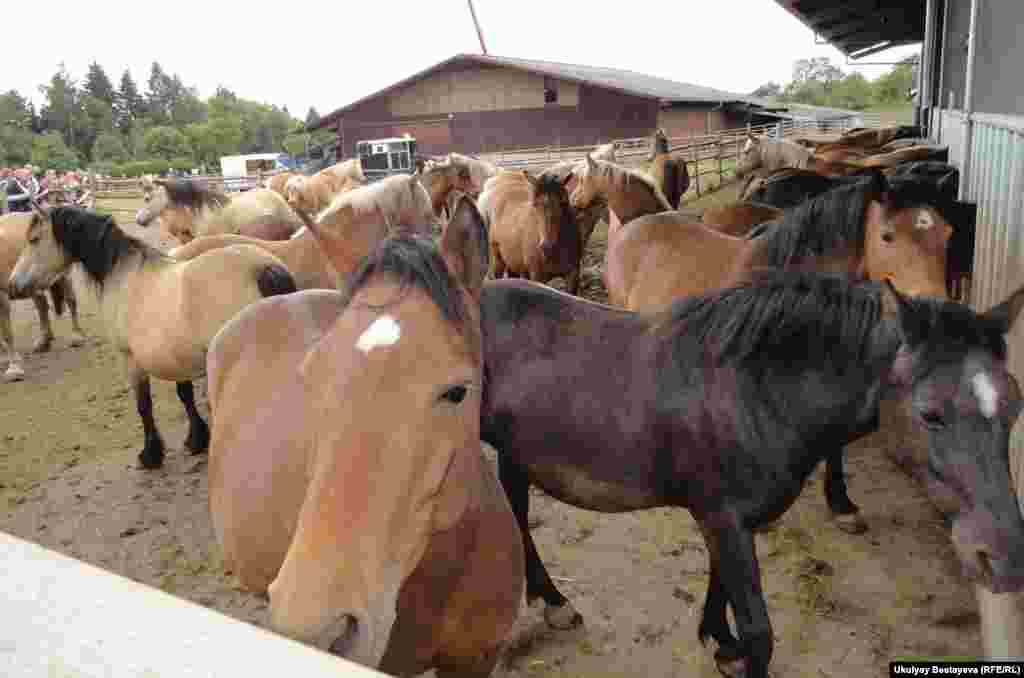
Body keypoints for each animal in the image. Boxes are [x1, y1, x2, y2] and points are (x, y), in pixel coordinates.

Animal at [0, 213, 86, 383]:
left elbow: (6, 333)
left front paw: (14, 368)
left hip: (62, 276)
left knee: (71, 301)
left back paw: (76, 336)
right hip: (30, 283)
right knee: (42, 306)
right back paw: (44, 342)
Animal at [9, 206, 296, 473]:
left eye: (34, 239)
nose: (13, 286)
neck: (124, 275)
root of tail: (265, 269)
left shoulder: (130, 360)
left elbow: (144, 405)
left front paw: (150, 455)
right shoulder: (175, 356)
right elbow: (185, 395)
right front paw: (196, 440)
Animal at [479, 270, 1024, 678]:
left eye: (1014, 406)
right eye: (930, 413)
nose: (1003, 559)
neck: (756, 391)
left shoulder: (732, 522)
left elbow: (722, 587)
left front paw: (721, 642)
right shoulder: (724, 518)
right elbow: (760, 634)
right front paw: (736, 649)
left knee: (517, 510)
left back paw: (552, 600)